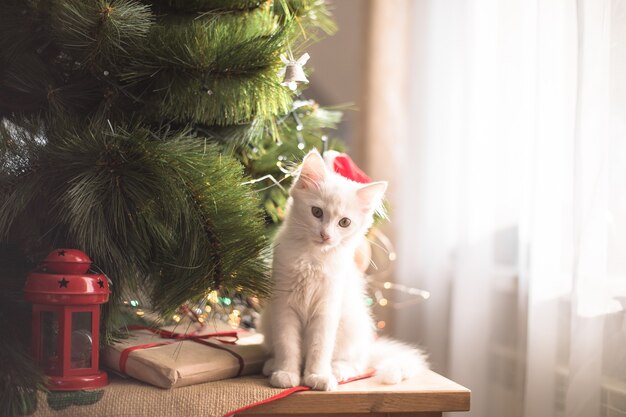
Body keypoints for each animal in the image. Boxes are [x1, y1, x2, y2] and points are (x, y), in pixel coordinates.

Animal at [260, 150, 428, 390]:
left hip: (352, 324)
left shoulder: (327, 308)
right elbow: (288, 345)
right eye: (317, 212)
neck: (313, 259)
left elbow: (320, 349)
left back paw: (337, 371)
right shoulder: (284, 305)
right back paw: (272, 364)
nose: (325, 235)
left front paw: (317, 376)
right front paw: (286, 373)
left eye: (344, 222)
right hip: (266, 320)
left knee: (355, 363)